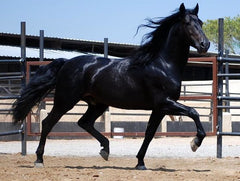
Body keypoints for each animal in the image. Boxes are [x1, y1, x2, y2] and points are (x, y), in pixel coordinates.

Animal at [12, 3, 209, 170]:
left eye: (200, 23)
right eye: (187, 23)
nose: (204, 44)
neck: (162, 65)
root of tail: (67, 63)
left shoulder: (159, 108)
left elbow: (150, 133)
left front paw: (140, 163)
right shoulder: (165, 103)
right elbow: (194, 112)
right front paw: (195, 143)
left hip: (97, 104)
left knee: (84, 122)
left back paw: (105, 150)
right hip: (65, 100)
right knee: (48, 123)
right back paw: (39, 159)